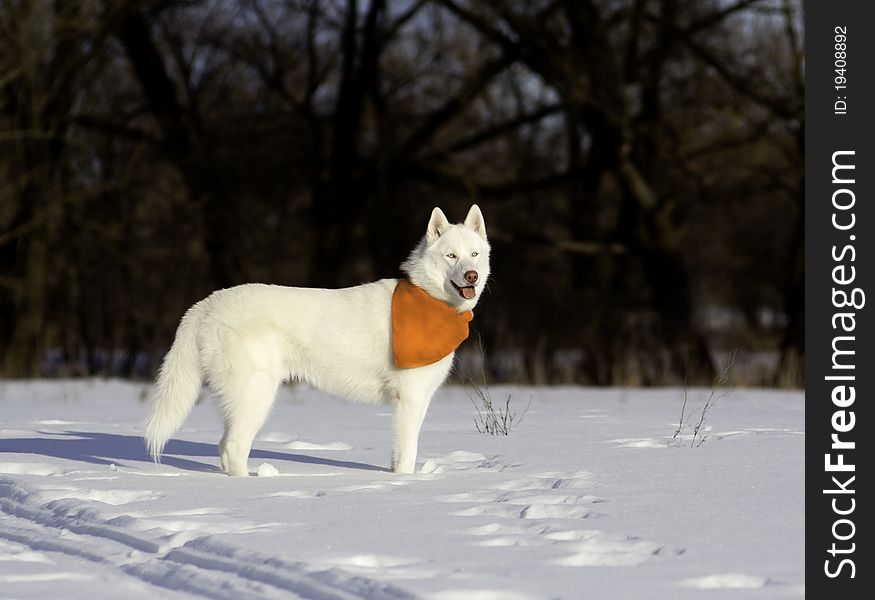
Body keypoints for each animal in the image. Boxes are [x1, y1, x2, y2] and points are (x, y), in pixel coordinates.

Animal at [140, 205, 490, 474]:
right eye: (451, 256)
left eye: (474, 254)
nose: (471, 276)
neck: (430, 300)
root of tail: (205, 305)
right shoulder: (410, 398)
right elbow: (406, 455)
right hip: (256, 394)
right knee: (233, 447)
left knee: (225, 447)